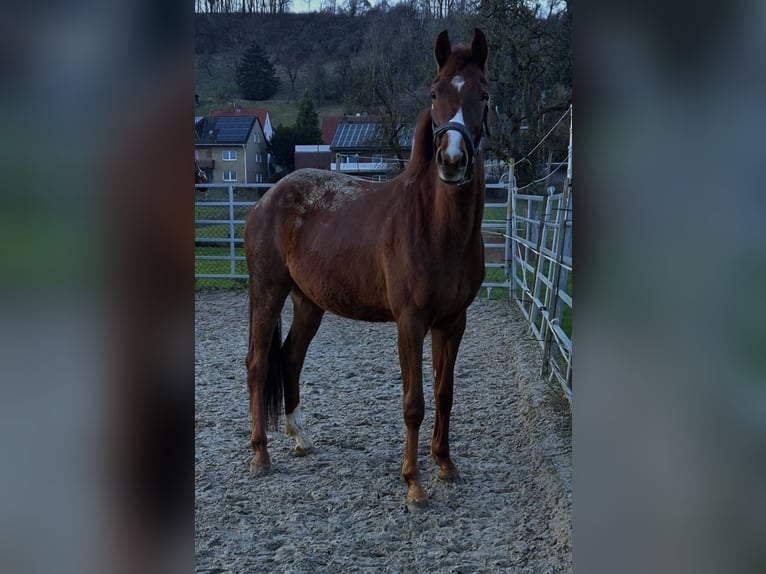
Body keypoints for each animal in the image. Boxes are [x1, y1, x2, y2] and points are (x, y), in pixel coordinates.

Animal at [243, 29, 488, 510]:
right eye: (435, 92)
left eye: (484, 94)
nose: (452, 161)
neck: (436, 226)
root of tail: (267, 199)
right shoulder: (410, 322)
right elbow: (414, 403)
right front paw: (413, 484)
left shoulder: (454, 321)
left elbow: (445, 393)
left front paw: (445, 464)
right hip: (267, 294)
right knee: (259, 364)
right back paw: (260, 455)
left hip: (308, 303)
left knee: (290, 357)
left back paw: (300, 438)